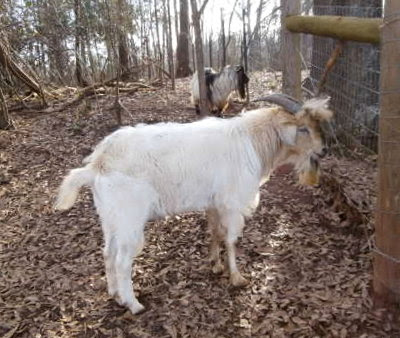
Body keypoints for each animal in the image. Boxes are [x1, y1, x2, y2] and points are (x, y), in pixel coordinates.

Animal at [55, 95, 332, 314]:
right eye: (303, 129)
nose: (324, 150)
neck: (252, 141)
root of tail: (97, 163)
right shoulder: (232, 203)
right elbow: (231, 239)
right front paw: (236, 277)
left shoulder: (214, 203)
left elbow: (215, 232)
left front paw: (216, 265)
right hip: (129, 220)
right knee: (123, 261)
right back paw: (133, 304)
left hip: (111, 218)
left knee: (108, 252)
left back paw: (115, 294)